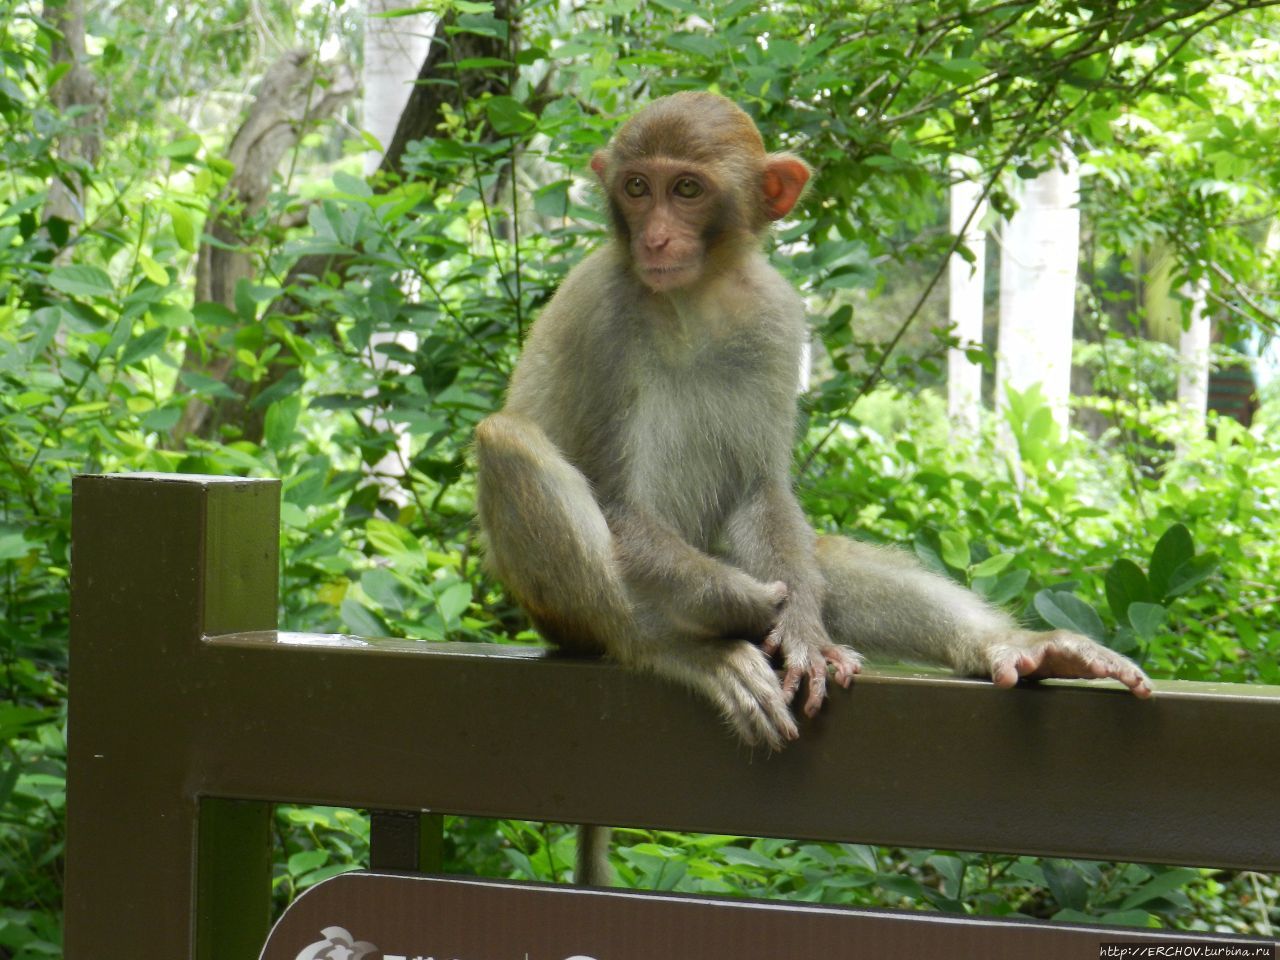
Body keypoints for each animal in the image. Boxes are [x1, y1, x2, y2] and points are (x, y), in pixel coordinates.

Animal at [476, 92, 1157, 885]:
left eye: (687, 189)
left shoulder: (776, 317)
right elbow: (615, 503)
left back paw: (1017, 649)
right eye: (637, 187)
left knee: (818, 558)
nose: (656, 236)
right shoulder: (602, 312)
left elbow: (761, 493)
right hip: (562, 615)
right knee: (509, 442)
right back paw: (673, 646)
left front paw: (800, 625)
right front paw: (750, 605)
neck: (697, 295)